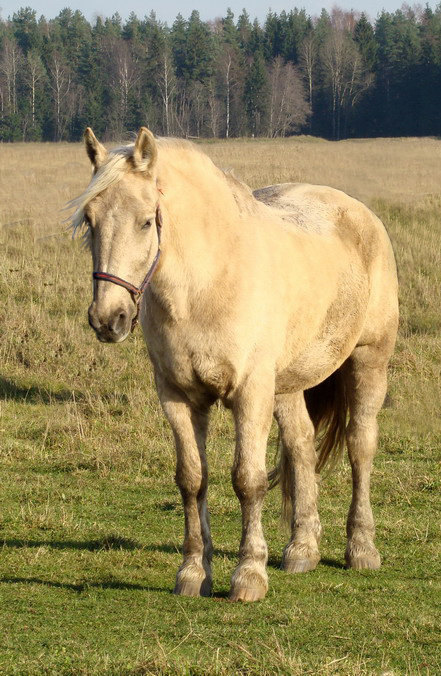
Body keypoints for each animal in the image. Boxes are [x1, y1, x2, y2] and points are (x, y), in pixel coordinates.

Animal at [69, 127, 398, 604]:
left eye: (146, 221)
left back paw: (361, 548)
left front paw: (249, 575)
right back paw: (302, 549)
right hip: (286, 385)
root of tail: (358, 212)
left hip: (368, 361)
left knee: (360, 446)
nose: (108, 319)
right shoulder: (179, 398)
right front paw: (193, 573)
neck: (207, 283)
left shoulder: (250, 393)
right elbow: (192, 479)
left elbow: (248, 480)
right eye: (91, 221)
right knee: (301, 445)